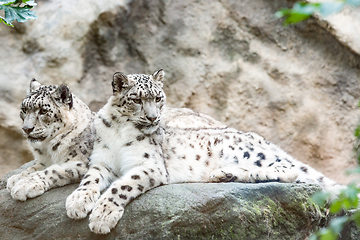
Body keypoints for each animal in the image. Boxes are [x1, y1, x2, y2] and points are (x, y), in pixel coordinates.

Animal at [65, 69, 340, 234]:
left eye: (158, 98)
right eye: (137, 99)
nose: (153, 118)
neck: (120, 131)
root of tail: (261, 139)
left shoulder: (149, 165)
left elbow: (122, 186)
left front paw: (102, 215)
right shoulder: (101, 162)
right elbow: (90, 180)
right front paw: (78, 202)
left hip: (250, 151)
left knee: (290, 169)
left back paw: (226, 172)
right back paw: (223, 174)